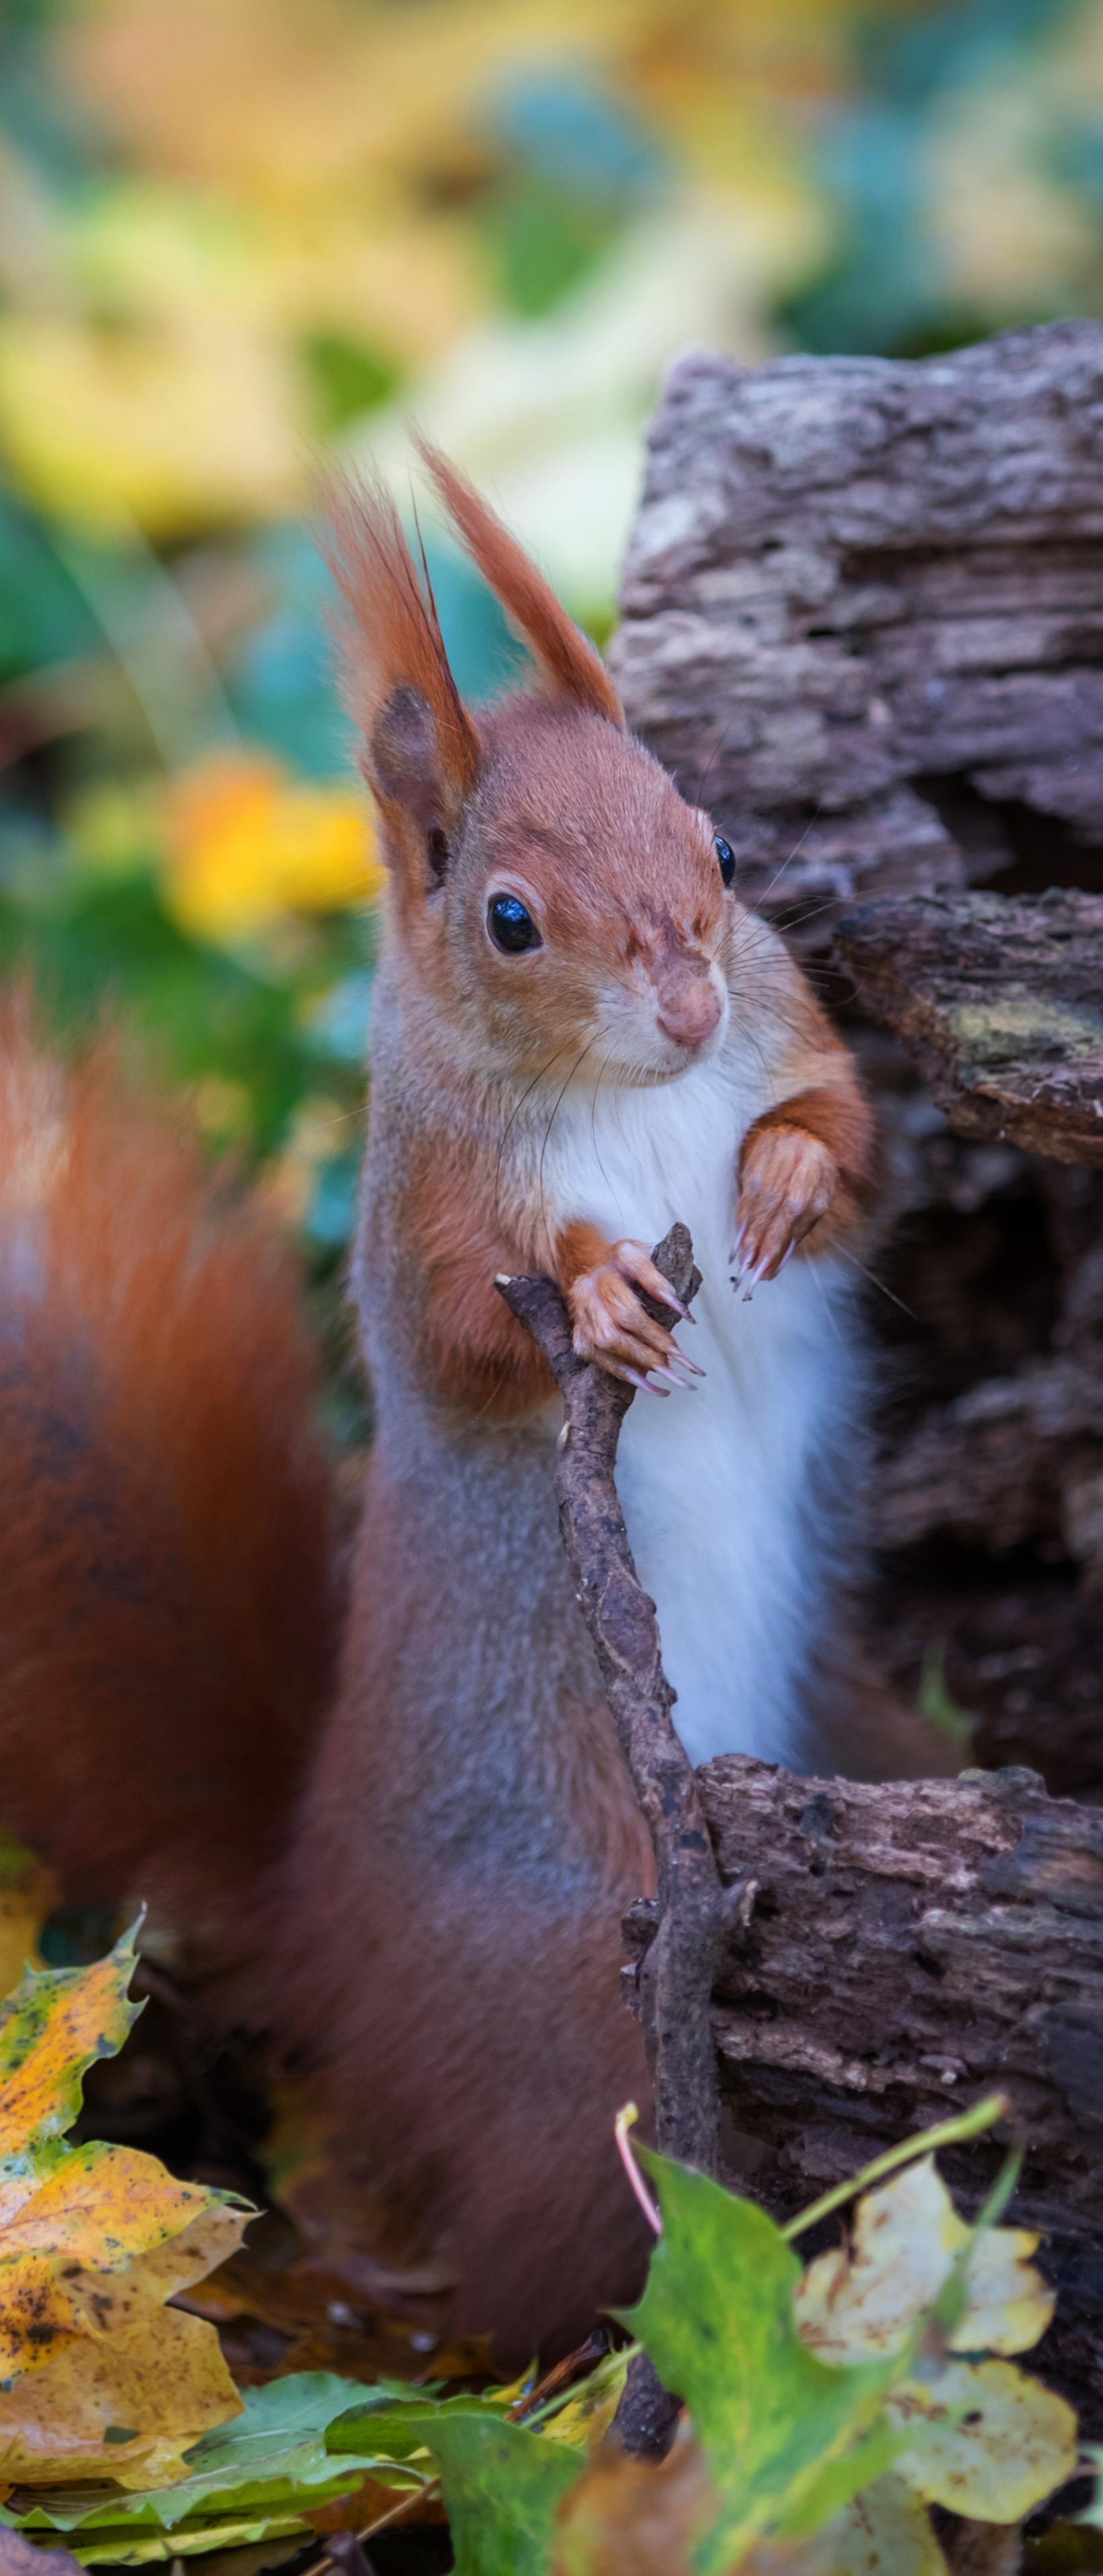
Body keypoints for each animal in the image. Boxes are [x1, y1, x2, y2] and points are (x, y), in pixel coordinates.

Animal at [0, 448, 886, 2369]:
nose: (687, 995)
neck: (632, 1094)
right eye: (508, 920)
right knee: (562, 2238)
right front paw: (607, 1293)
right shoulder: (423, 1214)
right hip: (586, 1990)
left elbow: (847, 1144)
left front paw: (780, 1179)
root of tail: (321, 1906)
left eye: (720, 847)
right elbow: (468, 1329)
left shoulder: (785, 1029)